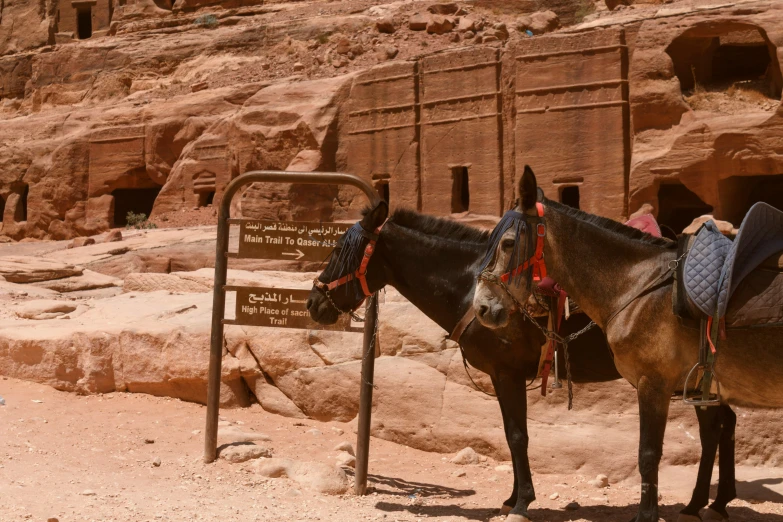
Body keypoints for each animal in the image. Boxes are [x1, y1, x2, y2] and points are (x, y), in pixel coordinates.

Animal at [310, 202, 740, 520]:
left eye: (338, 250)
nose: (313, 303)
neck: (469, 288)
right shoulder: (504, 377)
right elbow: (510, 434)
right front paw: (511, 498)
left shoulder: (507, 374)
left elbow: (517, 436)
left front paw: (521, 502)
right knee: (723, 424)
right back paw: (714, 502)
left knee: (712, 429)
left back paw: (700, 503)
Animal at [472, 168, 764, 520]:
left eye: (508, 243)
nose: (481, 307)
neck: (638, 286)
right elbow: (514, 433)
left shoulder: (654, 382)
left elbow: (648, 453)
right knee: (720, 427)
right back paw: (708, 504)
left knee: (714, 430)